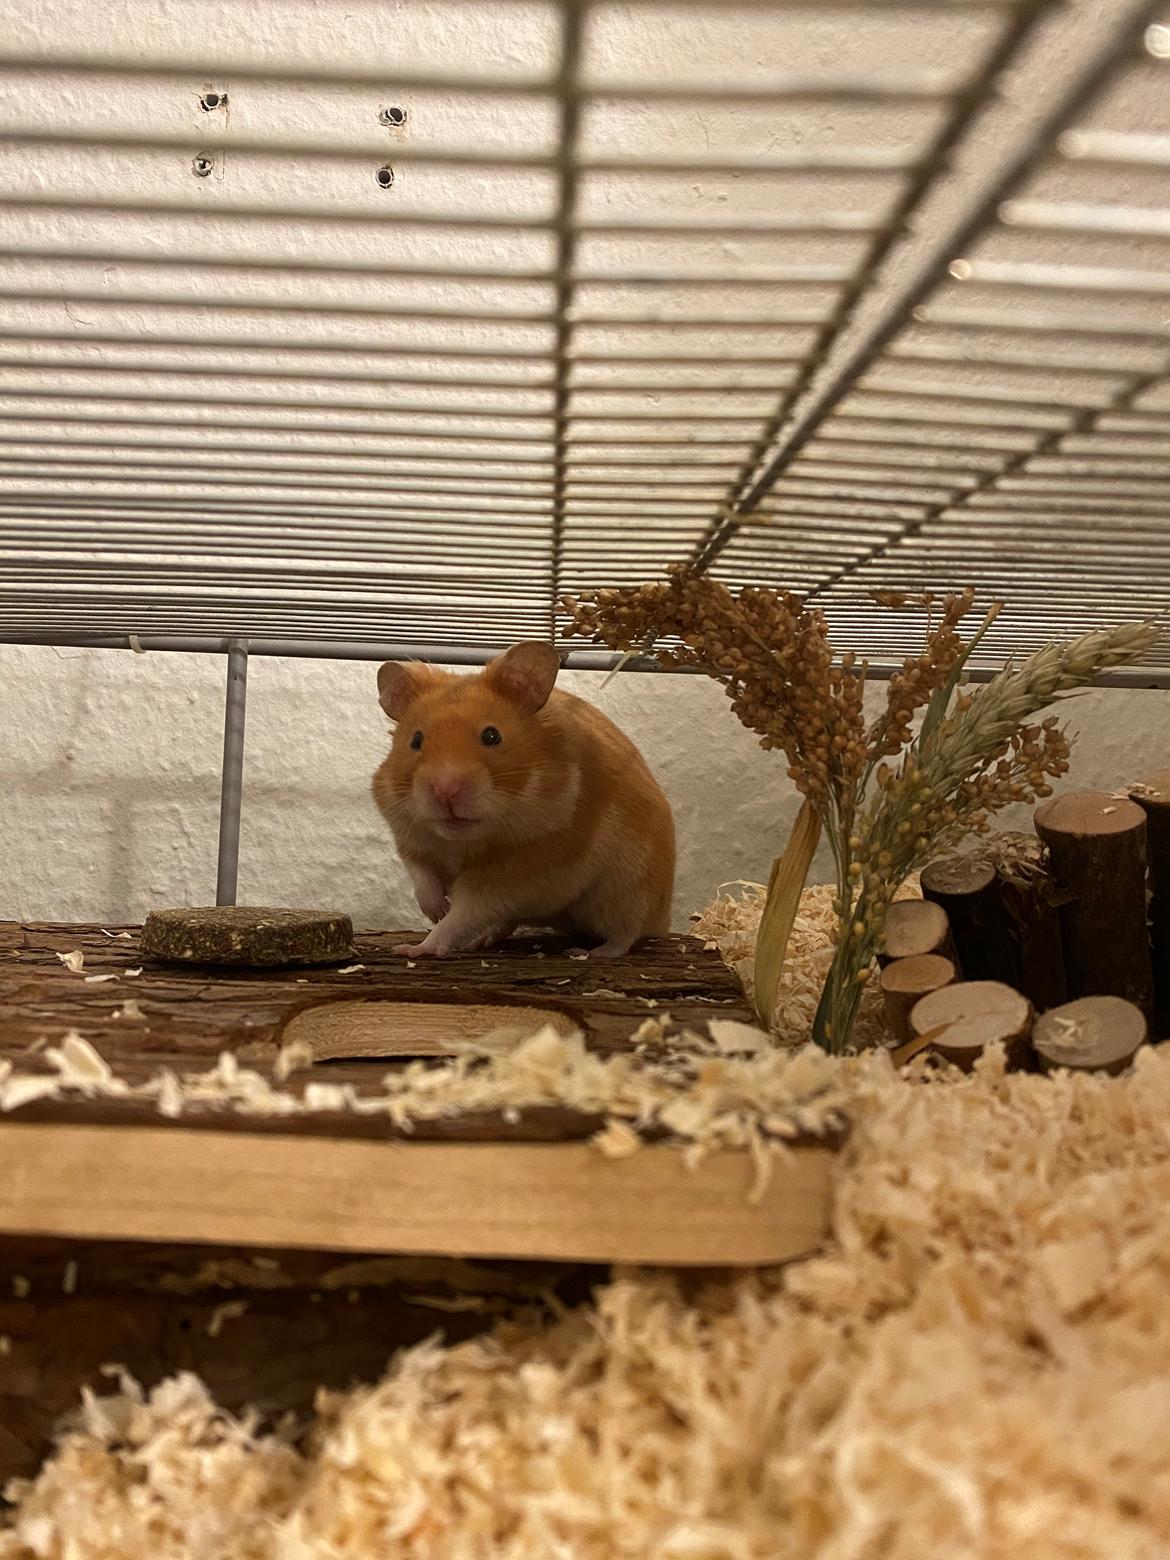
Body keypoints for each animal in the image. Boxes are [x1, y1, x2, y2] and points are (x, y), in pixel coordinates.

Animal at [371, 642, 675, 959]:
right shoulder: (409, 838)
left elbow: (461, 917)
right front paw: (437, 910)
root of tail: (663, 919)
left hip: (631, 891)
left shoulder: (513, 877)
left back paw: (589, 952)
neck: (462, 842)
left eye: (492, 736)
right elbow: (422, 877)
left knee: (626, 933)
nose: (445, 791)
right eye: (415, 740)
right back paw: (480, 941)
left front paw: (414, 948)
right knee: (507, 924)